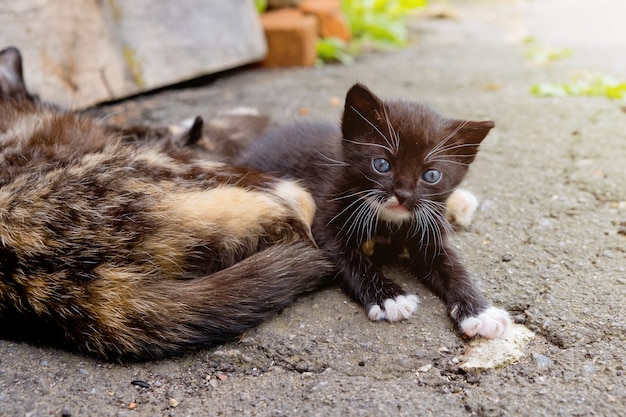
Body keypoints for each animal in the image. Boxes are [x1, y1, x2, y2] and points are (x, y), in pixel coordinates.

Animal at [236, 83, 510, 336]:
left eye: (431, 175)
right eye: (381, 164)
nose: (403, 194)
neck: (388, 221)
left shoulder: (428, 225)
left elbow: (451, 266)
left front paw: (480, 311)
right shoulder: (324, 217)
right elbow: (348, 257)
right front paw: (390, 299)